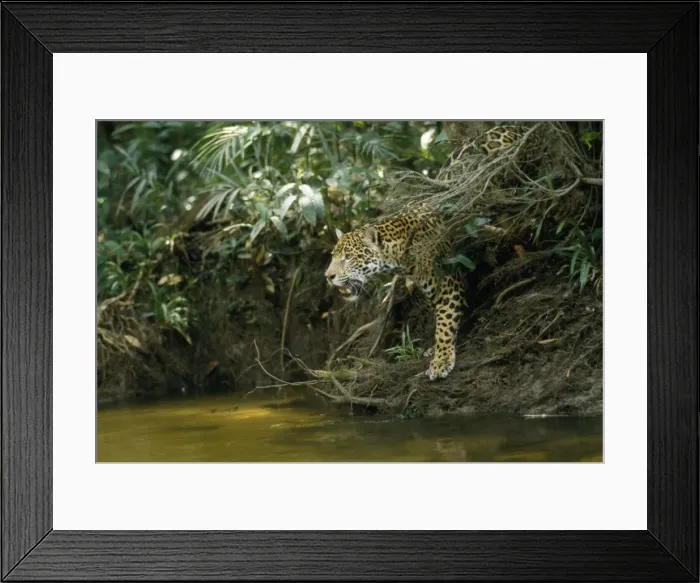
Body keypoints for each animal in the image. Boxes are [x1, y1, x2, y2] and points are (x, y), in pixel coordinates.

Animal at [325, 124, 524, 380]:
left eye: (348, 257)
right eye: (333, 257)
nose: (328, 276)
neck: (400, 253)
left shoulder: (448, 283)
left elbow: (445, 323)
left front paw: (442, 360)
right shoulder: (429, 290)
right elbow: (439, 317)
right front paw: (436, 348)